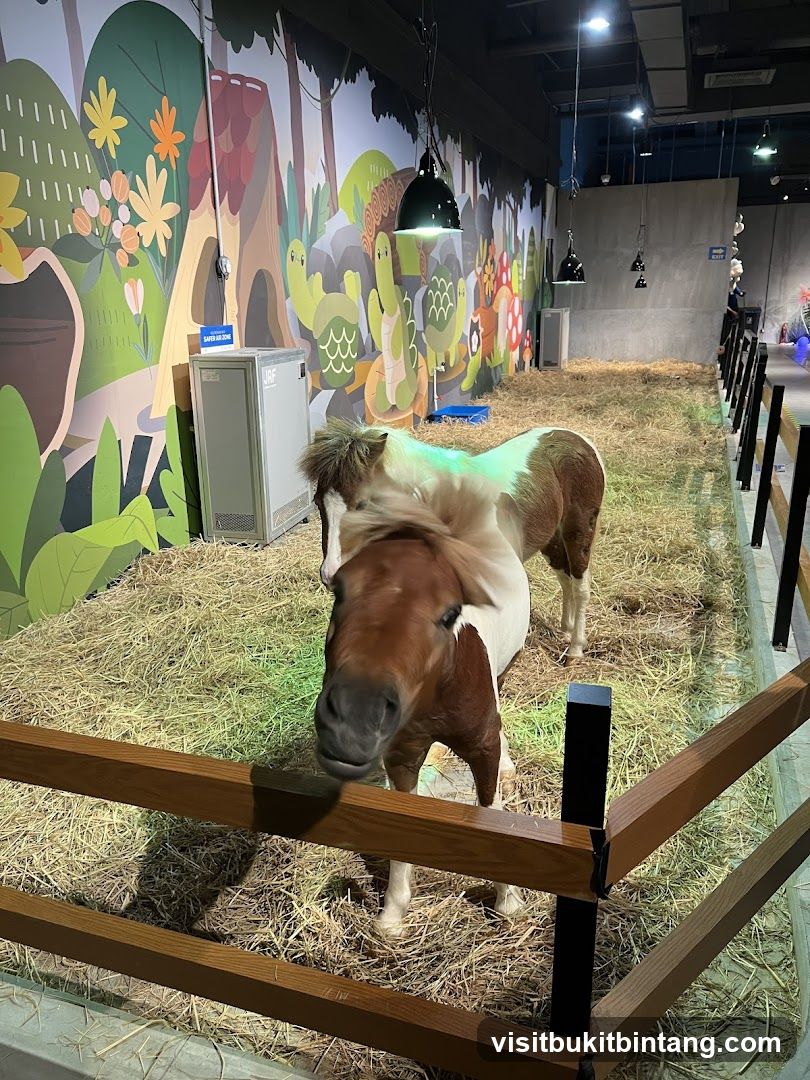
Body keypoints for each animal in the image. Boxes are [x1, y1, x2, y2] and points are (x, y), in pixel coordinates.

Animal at [300, 418, 605, 661]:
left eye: (363, 504)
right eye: (317, 502)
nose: (329, 574)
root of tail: (580, 440)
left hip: (578, 532)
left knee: (580, 584)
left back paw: (575, 649)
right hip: (552, 539)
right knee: (565, 578)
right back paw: (565, 630)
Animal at [313, 475, 530, 934]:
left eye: (450, 613)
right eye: (339, 591)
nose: (355, 720)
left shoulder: (482, 746)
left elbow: (491, 809)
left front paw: (508, 902)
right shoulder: (401, 754)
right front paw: (392, 916)